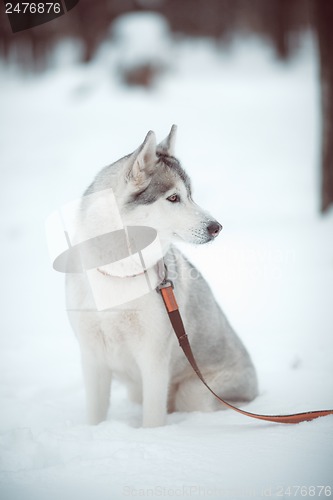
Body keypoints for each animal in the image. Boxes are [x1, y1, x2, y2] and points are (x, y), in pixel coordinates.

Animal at [65, 125, 256, 426]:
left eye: (190, 194)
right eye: (173, 197)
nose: (216, 227)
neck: (121, 272)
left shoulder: (153, 358)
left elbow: (153, 417)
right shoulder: (92, 356)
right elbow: (95, 414)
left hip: (195, 392)